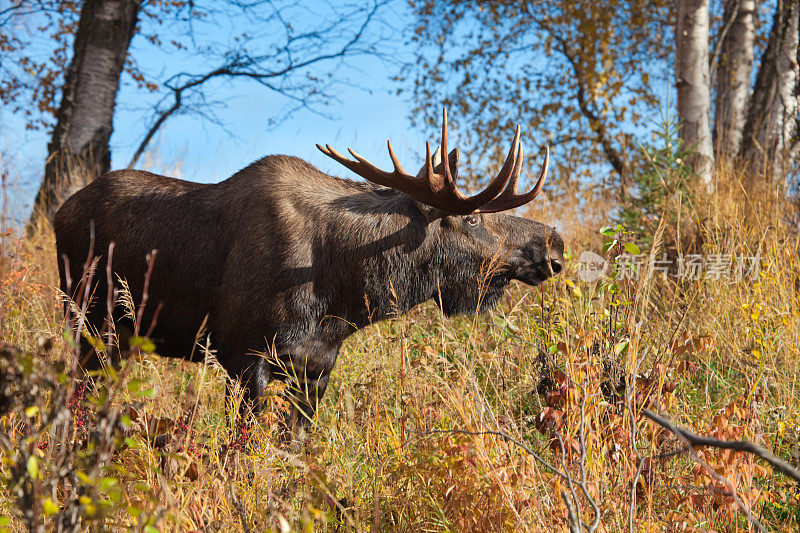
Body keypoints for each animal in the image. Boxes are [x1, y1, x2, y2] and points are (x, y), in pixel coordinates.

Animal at [54, 108, 564, 436]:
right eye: (473, 218)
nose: (554, 244)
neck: (342, 299)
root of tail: (59, 212)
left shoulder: (315, 371)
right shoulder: (243, 356)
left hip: (119, 339)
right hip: (88, 323)